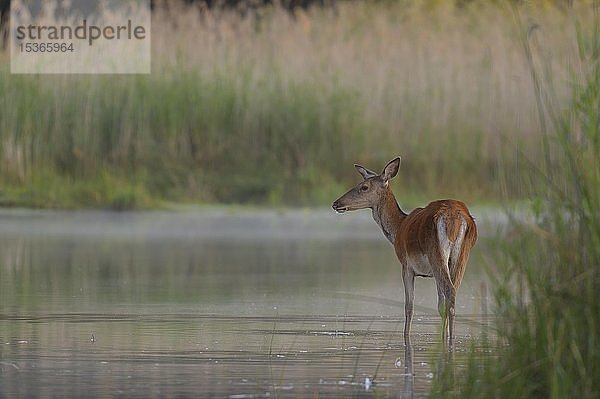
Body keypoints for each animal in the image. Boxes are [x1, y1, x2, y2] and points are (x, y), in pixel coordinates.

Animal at [330, 156, 476, 346]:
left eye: (364, 187)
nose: (336, 203)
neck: (398, 228)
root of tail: (456, 218)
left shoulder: (406, 265)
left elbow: (409, 306)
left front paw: (406, 335)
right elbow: (439, 305)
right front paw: (440, 337)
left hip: (436, 253)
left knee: (450, 292)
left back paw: (451, 340)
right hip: (461, 256)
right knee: (452, 293)